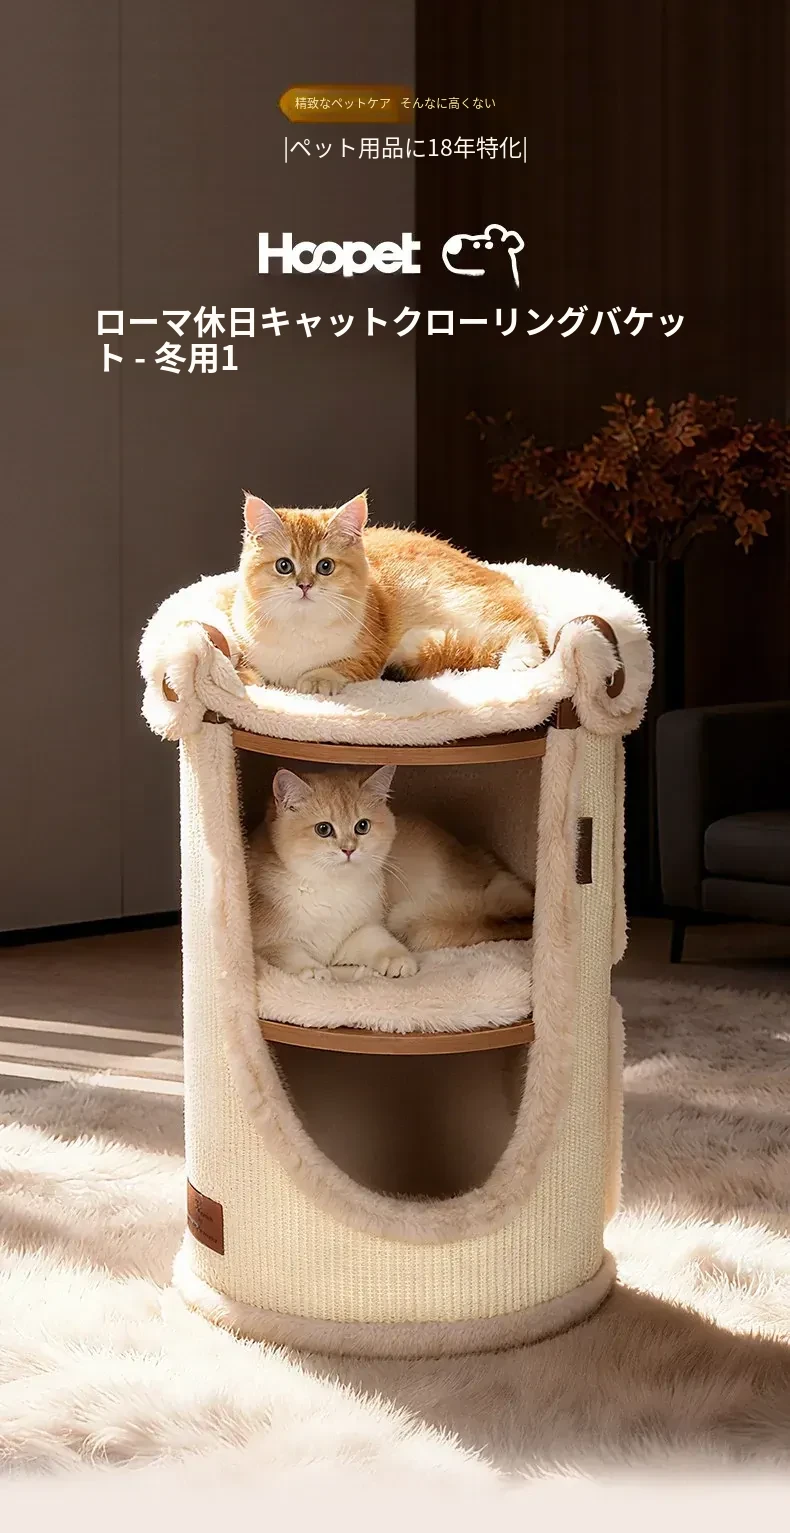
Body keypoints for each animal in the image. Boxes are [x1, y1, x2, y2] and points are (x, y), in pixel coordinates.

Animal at [231, 490, 547, 695]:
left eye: (325, 566)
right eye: (284, 565)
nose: (305, 585)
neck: (300, 627)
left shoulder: (372, 650)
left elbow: (346, 666)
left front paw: (318, 678)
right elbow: (244, 664)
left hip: (469, 603)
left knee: (516, 627)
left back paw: (521, 658)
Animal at [247, 766, 534, 982]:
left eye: (362, 826)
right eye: (323, 829)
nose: (348, 849)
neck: (332, 888)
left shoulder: (359, 929)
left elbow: (377, 940)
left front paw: (398, 959)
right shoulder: (267, 943)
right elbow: (287, 953)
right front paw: (313, 970)